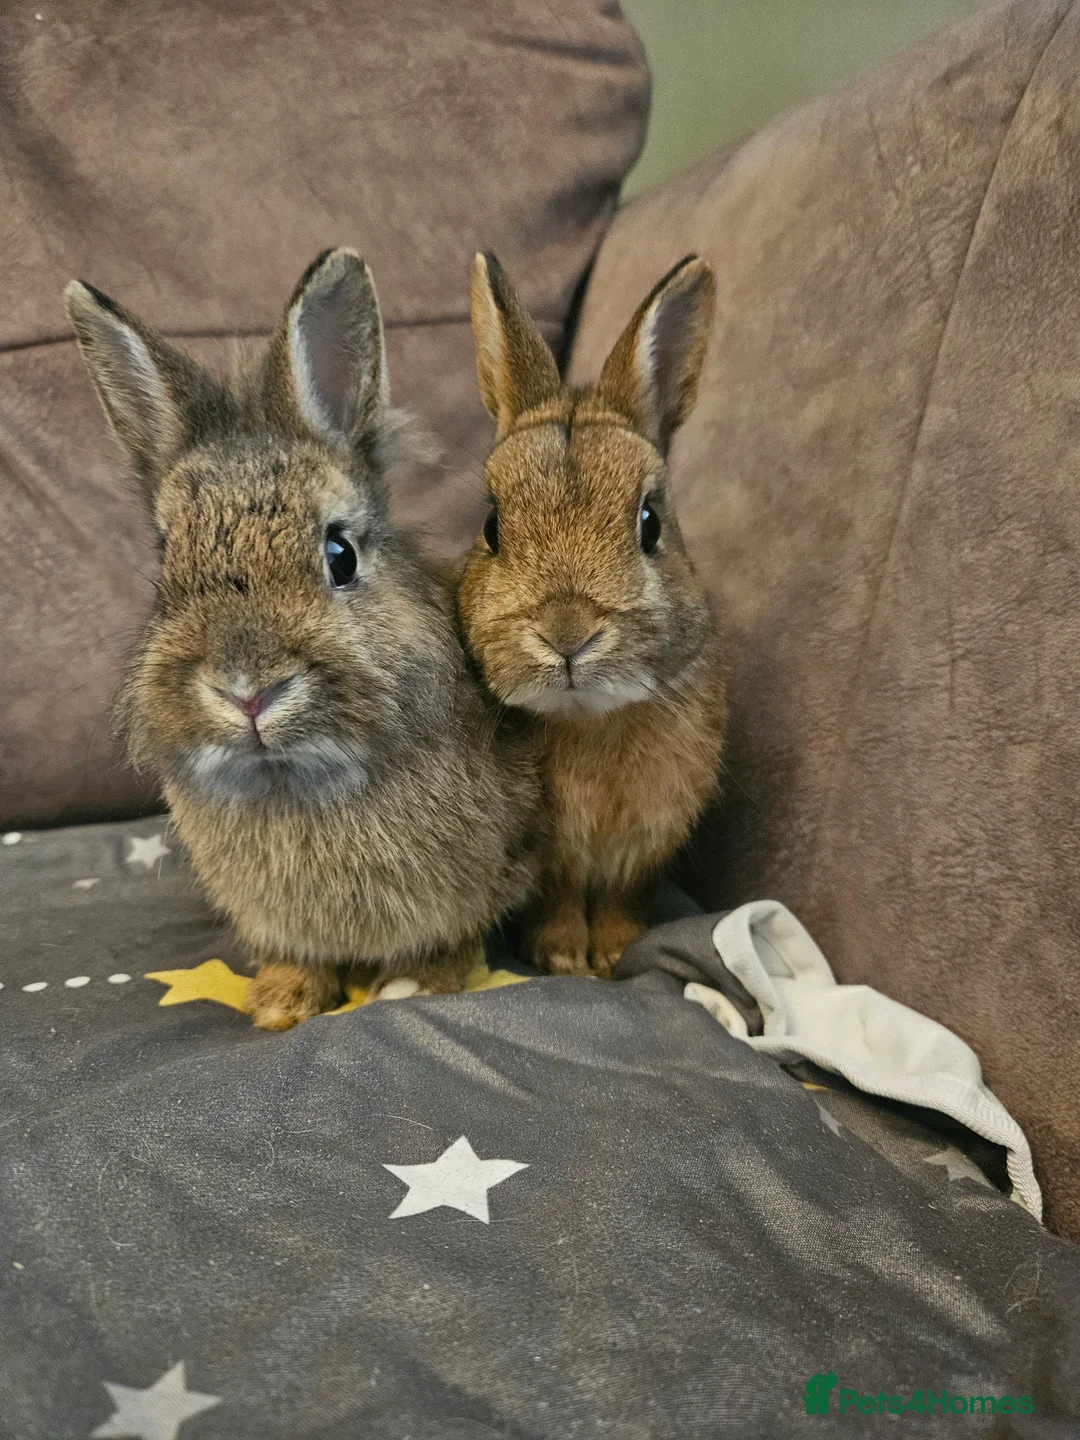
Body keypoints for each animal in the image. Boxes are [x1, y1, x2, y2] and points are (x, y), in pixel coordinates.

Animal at [65, 248, 545, 1030]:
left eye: (340, 554)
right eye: (166, 564)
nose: (246, 690)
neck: (295, 777)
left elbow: (451, 942)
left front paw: (411, 986)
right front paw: (281, 1003)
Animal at [458, 252, 728, 979]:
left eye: (650, 523)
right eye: (491, 528)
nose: (567, 635)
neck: (592, 720)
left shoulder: (649, 842)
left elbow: (621, 899)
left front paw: (612, 951)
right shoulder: (550, 857)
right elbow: (558, 896)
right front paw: (561, 956)